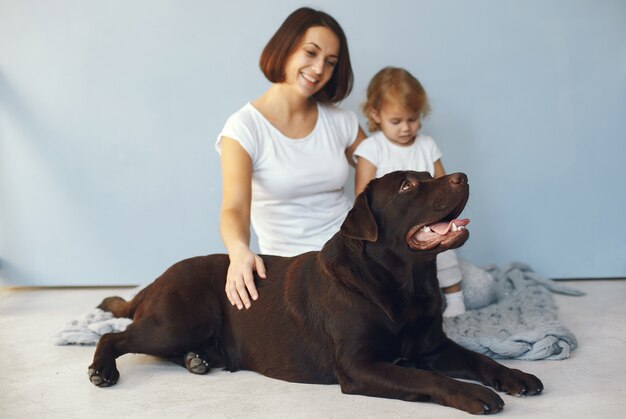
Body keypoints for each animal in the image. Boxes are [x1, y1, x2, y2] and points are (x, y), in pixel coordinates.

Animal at [89, 172, 540, 416]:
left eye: (430, 175)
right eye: (409, 185)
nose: (462, 176)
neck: (402, 286)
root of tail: (157, 279)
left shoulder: (434, 345)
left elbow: (478, 358)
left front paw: (514, 376)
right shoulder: (359, 366)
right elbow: (423, 376)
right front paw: (474, 394)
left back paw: (196, 360)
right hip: (178, 321)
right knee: (114, 336)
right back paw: (104, 370)